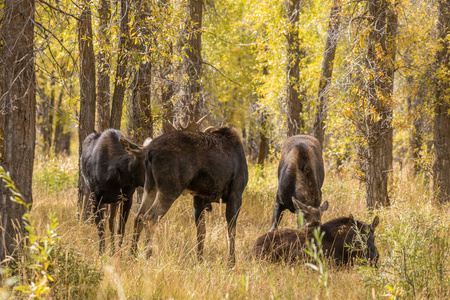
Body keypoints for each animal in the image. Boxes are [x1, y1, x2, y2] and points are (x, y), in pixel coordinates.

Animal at [125, 125, 248, 266]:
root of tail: (150, 153)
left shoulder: (199, 197)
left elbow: (201, 232)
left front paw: (199, 260)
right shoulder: (236, 194)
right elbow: (231, 232)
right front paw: (231, 264)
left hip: (150, 186)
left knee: (138, 216)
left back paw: (132, 255)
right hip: (170, 189)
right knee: (150, 218)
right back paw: (147, 257)